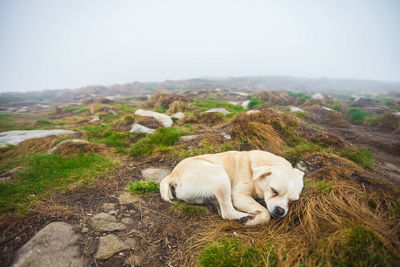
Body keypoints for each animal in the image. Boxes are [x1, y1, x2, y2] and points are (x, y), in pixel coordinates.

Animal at [159, 151, 304, 226]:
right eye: (274, 191)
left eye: (292, 201)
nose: (281, 211)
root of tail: (172, 175)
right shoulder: (239, 196)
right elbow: (266, 213)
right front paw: (253, 219)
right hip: (221, 177)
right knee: (227, 212)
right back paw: (245, 216)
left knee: (221, 210)